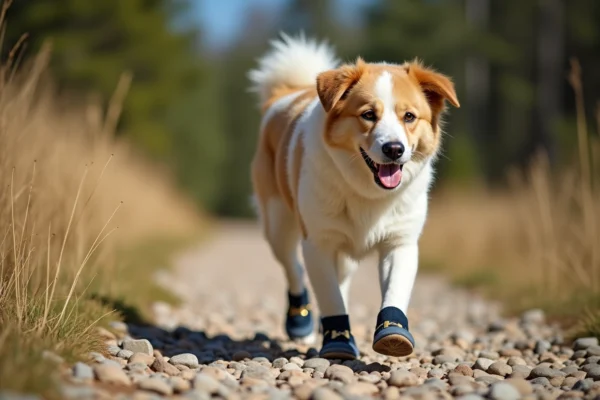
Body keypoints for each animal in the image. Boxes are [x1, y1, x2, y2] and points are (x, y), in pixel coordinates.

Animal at [247, 34, 460, 360]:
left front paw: (393, 334)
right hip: (278, 225)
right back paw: (301, 322)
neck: (367, 193)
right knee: (293, 268)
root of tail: (287, 93)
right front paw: (337, 341)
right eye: (368, 115)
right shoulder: (318, 242)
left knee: (340, 280)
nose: (394, 149)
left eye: (409, 116)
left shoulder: (400, 241)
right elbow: (329, 297)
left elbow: (395, 289)